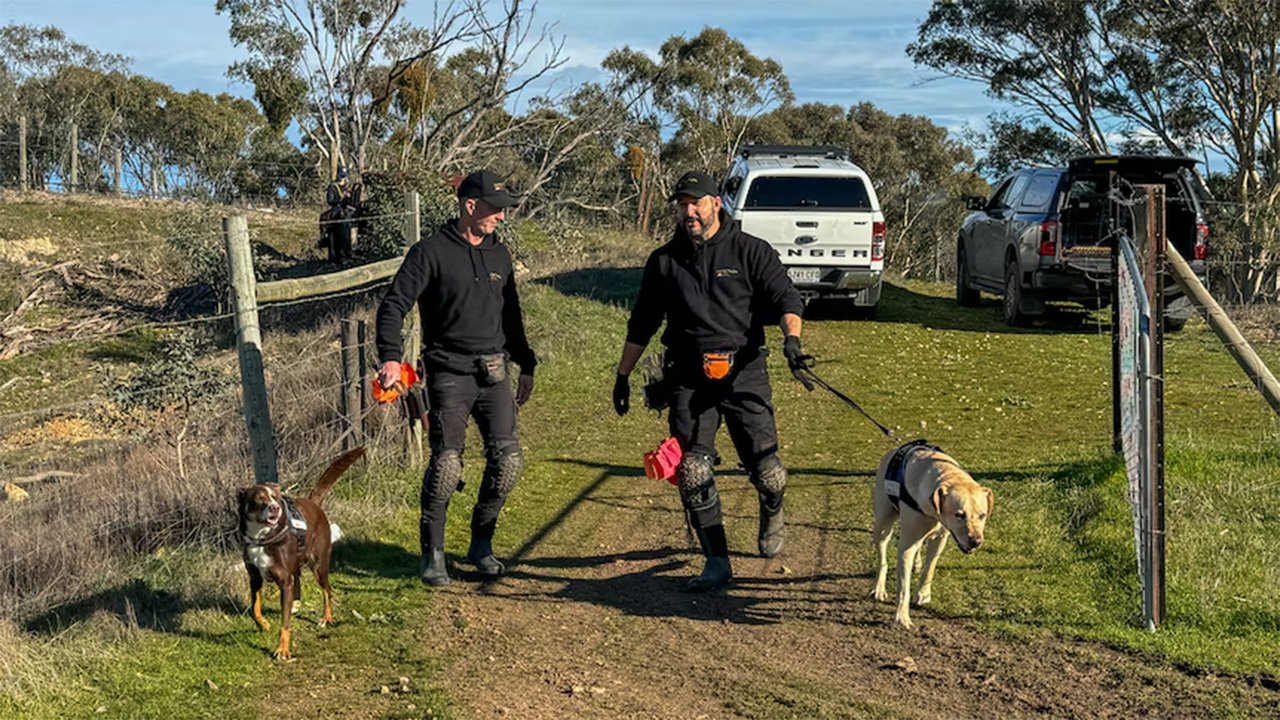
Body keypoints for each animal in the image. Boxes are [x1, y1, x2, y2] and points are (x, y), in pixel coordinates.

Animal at [238, 445, 366, 661]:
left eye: (275, 498)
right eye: (259, 498)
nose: (275, 508)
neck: (262, 538)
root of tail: (313, 504)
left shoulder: (284, 580)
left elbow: (285, 624)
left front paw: (282, 649)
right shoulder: (255, 577)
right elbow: (254, 609)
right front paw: (263, 624)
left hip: (319, 565)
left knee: (327, 591)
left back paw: (325, 618)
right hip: (297, 565)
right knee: (298, 583)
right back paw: (296, 605)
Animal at [865, 435, 993, 625]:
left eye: (982, 515)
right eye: (959, 515)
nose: (976, 541)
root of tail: (893, 450)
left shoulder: (940, 538)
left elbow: (929, 568)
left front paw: (923, 594)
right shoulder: (906, 545)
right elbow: (903, 587)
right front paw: (902, 616)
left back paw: (917, 564)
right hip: (883, 523)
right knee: (883, 556)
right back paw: (879, 587)